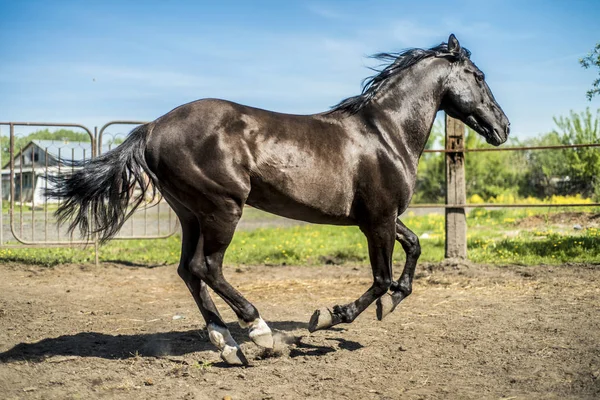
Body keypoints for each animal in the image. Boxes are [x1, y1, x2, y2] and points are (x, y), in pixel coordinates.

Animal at [51, 35, 508, 366]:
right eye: (478, 75)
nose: (503, 126)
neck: (385, 133)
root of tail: (151, 128)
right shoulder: (377, 219)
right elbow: (380, 278)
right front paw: (329, 317)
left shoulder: (380, 217)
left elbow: (412, 247)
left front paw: (393, 302)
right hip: (223, 209)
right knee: (206, 267)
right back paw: (261, 334)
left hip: (190, 214)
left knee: (188, 271)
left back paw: (228, 345)